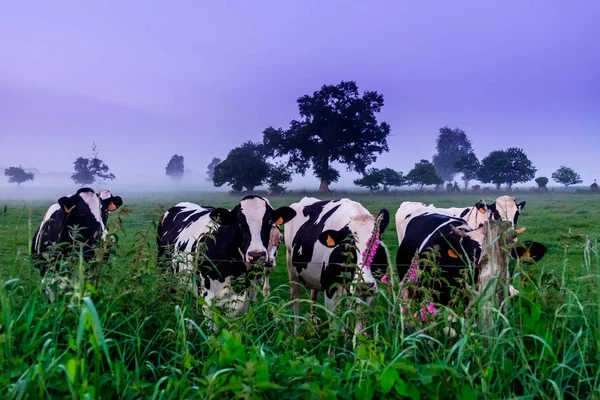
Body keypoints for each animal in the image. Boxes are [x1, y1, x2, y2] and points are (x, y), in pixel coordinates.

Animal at [155, 196, 296, 316]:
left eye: (269, 222)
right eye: (239, 223)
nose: (257, 255)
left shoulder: (247, 301)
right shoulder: (208, 301)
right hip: (164, 271)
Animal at [284, 198, 392, 336]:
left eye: (377, 244)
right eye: (347, 245)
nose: (364, 286)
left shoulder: (369, 293)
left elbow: (359, 325)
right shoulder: (331, 290)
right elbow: (334, 328)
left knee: (313, 296)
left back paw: (314, 325)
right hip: (291, 267)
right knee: (296, 300)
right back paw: (296, 332)